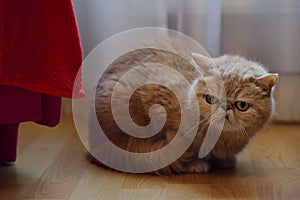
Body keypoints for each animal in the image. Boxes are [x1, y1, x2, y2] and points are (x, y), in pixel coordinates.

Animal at [92, 44, 278, 174]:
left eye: (242, 105)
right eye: (211, 99)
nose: (225, 108)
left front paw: (224, 161)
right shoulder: (155, 98)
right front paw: (195, 164)